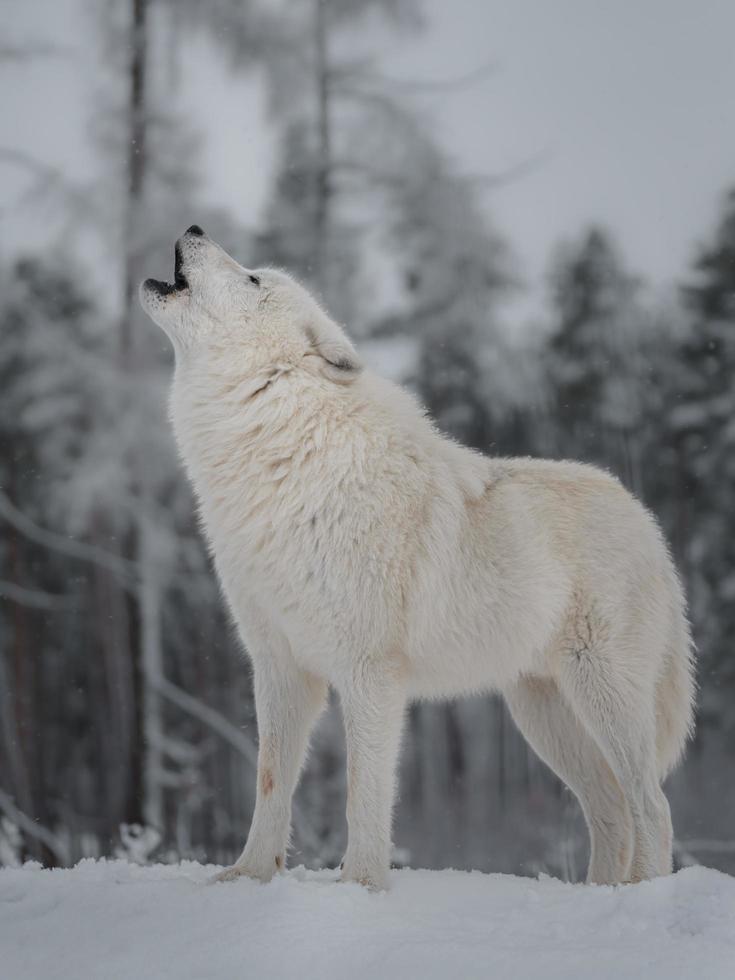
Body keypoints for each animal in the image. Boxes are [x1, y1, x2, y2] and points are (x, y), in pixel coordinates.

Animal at [139, 226, 696, 892]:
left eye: (252, 279)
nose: (194, 229)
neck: (282, 450)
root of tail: (648, 521)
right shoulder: (278, 665)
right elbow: (270, 781)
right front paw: (248, 876)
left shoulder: (369, 672)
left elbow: (363, 793)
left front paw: (360, 886)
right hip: (544, 716)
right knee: (612, 807)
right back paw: (601, 894)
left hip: (605, 696)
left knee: (654, 806)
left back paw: (647, 894)